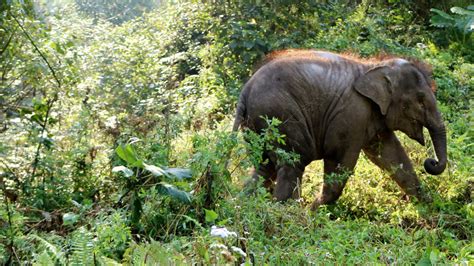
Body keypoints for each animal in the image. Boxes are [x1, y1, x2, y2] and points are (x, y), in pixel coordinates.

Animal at [233, 48, 448, 209]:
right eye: (420, 101)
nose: (431, 162)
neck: (373, 67)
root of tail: (245, 90)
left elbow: (391, 155)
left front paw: (429, 205)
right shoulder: (352, 114)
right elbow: (340, 160)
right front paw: (314, 211)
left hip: (257, 124)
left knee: (264, 166)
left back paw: (244, 202)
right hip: (279, 116)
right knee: (292, 163)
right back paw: (291, 213)